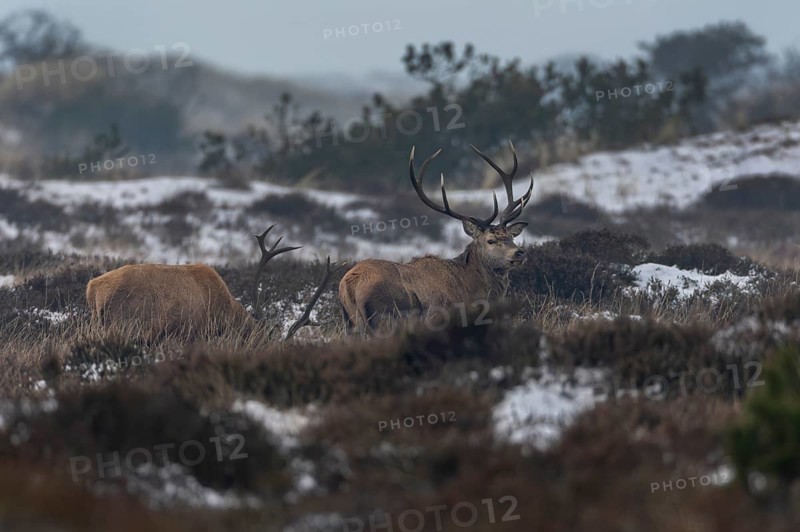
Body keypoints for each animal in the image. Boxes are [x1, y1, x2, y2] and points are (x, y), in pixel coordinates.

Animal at [339, 141, 534, 334]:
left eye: (511, 237)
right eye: (490, 241)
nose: (519, 253)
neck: (472, 289)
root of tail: (350, 284)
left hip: (352, 323)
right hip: (385, 316)